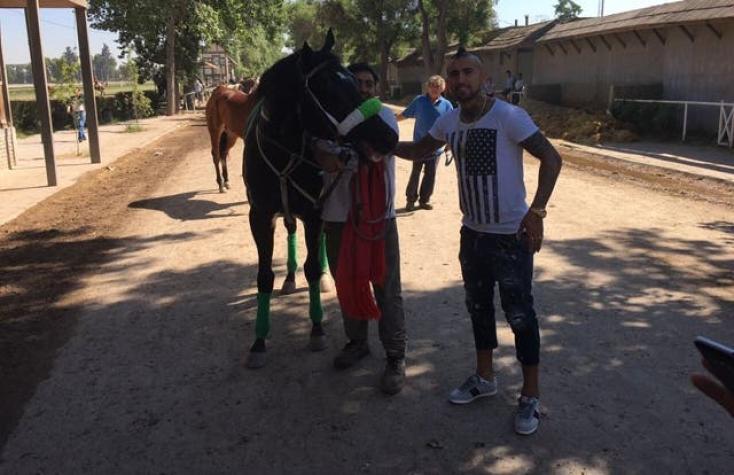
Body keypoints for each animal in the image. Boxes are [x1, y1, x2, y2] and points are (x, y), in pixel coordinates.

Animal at [244, 33, 400, 368]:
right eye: (328, 89)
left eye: (355, 82)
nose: (388, 136)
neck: (284, 152)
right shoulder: (260, 216)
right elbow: (264, 276)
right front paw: (259, 342)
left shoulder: (314, 211)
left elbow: (313, 267)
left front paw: (316, 329)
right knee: (290, 232)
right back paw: (289, 278)